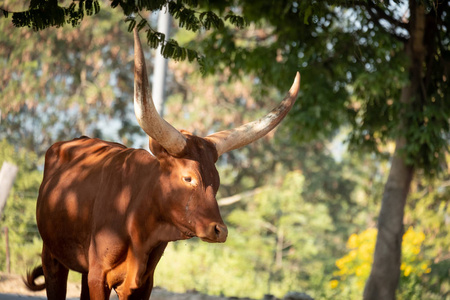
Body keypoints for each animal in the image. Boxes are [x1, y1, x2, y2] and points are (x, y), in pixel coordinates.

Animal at [23, 27, 298, 298]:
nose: (220, 230)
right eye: (188, 178)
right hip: (52, 256)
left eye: (218, 183)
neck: (136, 218)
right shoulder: (98, 275)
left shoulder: (143, 282)